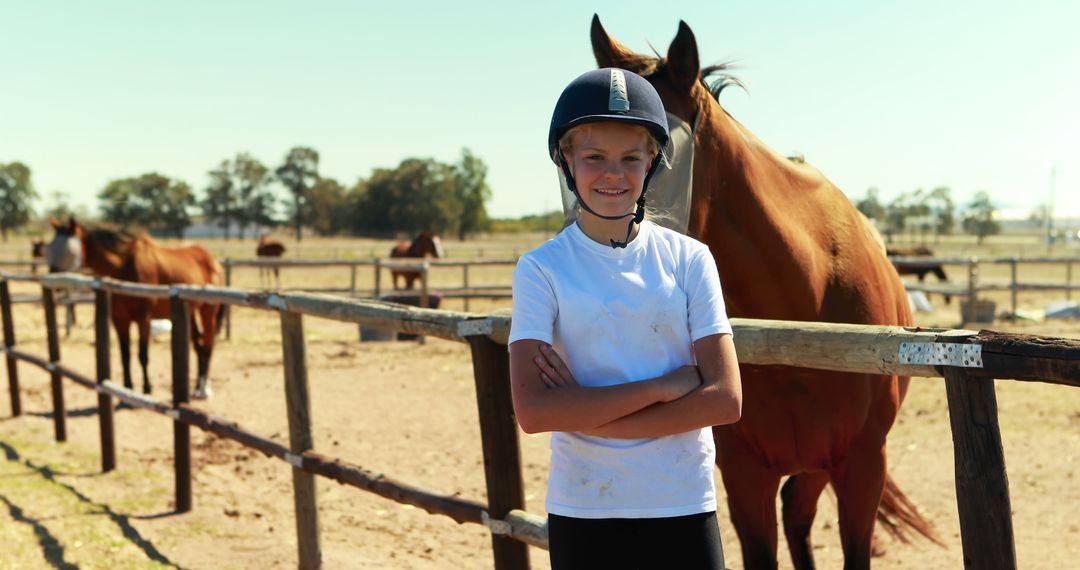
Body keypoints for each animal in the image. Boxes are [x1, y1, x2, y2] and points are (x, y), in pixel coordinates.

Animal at [45, 218, 226, 401]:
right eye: (50, 247)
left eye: (69, 250)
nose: (52, 280)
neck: (124, 268)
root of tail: (214, 261)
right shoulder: (119, 320)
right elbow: (125, 355)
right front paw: (127, 389)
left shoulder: (143, 319)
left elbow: (142, 355)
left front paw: (146, 389)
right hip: (190, 313)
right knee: (199, 345)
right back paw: (197, 387)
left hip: (208, 311)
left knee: (208, 346)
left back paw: (203, 390)